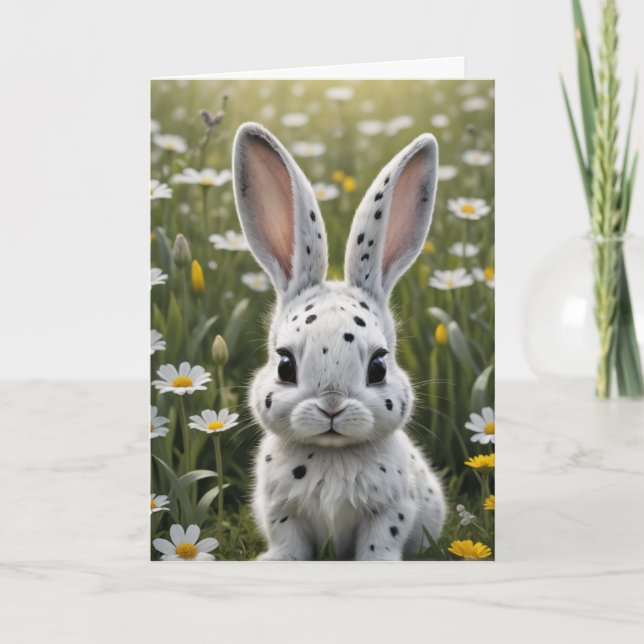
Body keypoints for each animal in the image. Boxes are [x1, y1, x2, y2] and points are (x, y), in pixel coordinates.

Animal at [232, 122, 446, 560]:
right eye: (285, 364)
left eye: (378, 366)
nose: (331, 405)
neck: (331, 454)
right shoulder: (281, 512)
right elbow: (289, 541)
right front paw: (280, 561)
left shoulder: (390, 511)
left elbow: (380, 540)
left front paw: (377, 563)